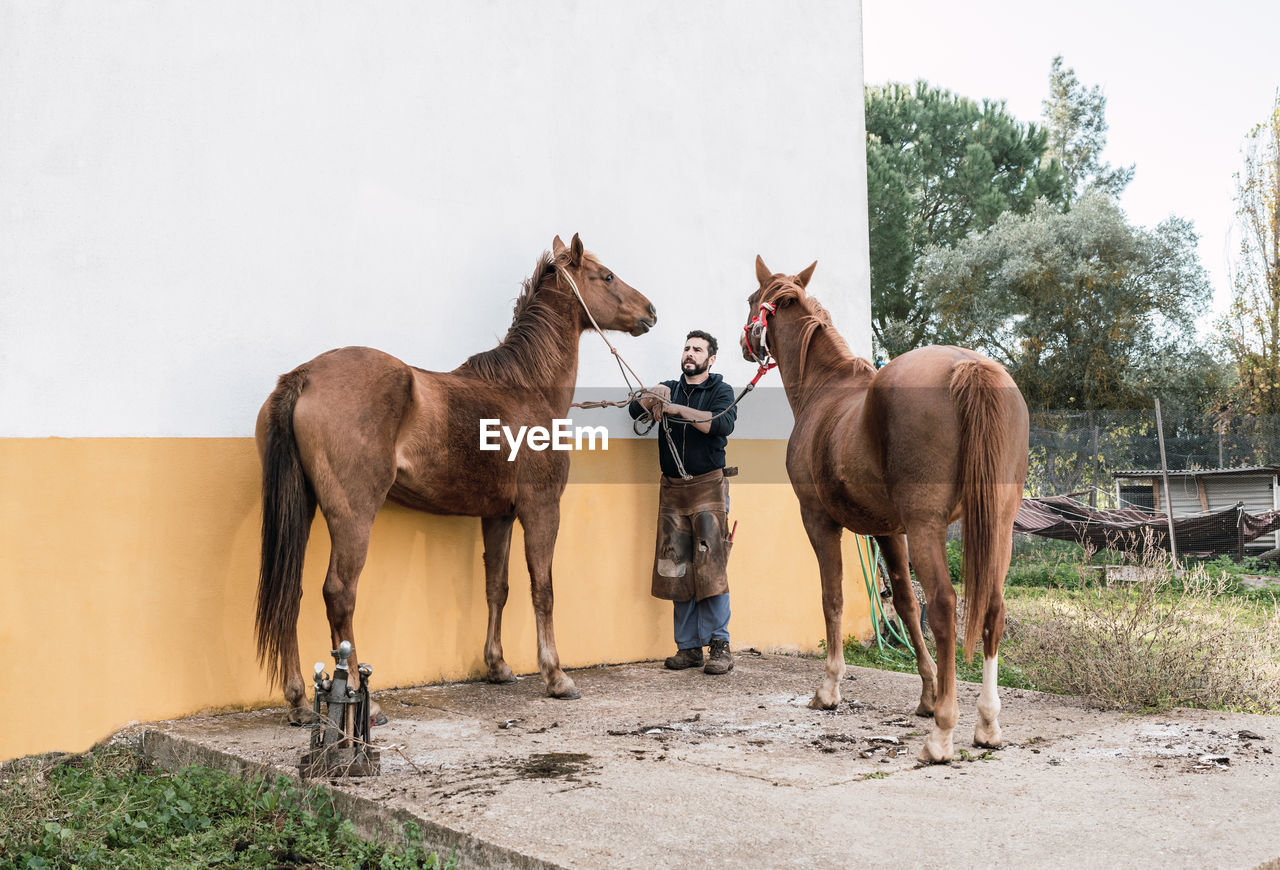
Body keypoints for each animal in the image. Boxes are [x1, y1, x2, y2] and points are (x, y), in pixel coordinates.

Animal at [254, 234, 655, 716]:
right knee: (339, 594)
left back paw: (298, 699)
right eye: (607, 276)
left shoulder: (499, 515)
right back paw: (362, 702)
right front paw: (556, 676)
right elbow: (543, 588)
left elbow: (497, 587)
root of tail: (305, 376)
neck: (525, 388)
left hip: (303, 506)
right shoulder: (541, 508)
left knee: (289, 594)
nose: (651, 310)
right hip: (353, 515)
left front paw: (497, 666)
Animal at [742, 258, 1029, 762]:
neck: (825, 390)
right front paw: (927, 693)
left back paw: (942, 733)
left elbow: (833, 598)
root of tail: (968, 365)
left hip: (927, 526)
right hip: (998, 526)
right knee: (992, 608)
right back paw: (987, 724)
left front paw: (829, 690)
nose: (741, 345)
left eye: (750, 300)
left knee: (945, 605)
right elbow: (905, 605)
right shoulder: (889, 531)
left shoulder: (819, 520)